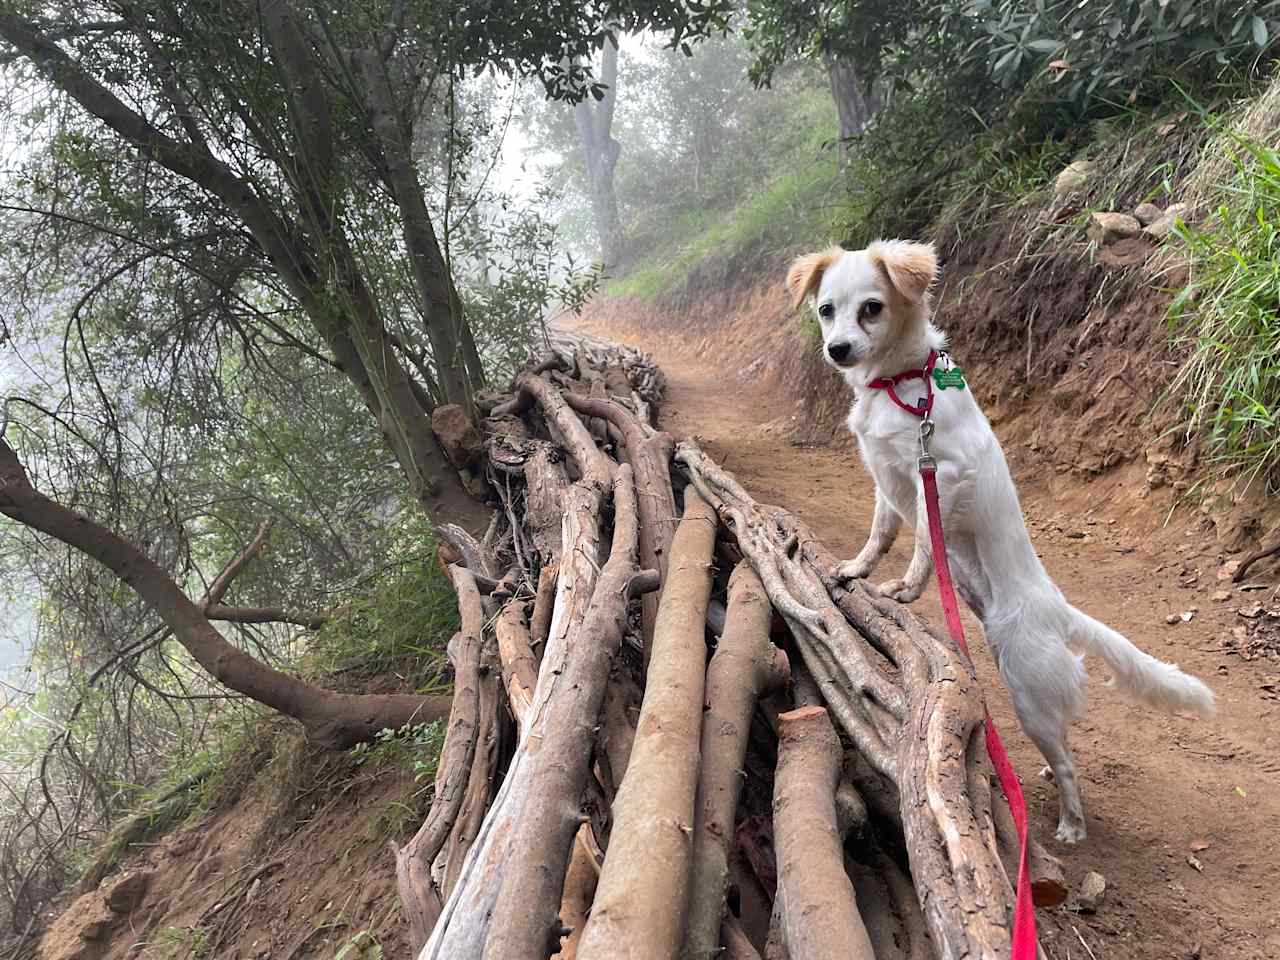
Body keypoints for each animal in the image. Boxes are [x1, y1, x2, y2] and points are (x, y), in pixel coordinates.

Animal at [783, 239, 1213, 839]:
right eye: (826, 310)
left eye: (872, 308)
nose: (838, 349)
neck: (901, 385)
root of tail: (1057, 609)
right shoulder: (886, 483)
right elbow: (881, 534)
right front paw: (855, 569)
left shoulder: (940, 474)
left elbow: (923, 542)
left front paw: (906, 589)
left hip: (1028, 692)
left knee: (1069, 767)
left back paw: (1072, 824)